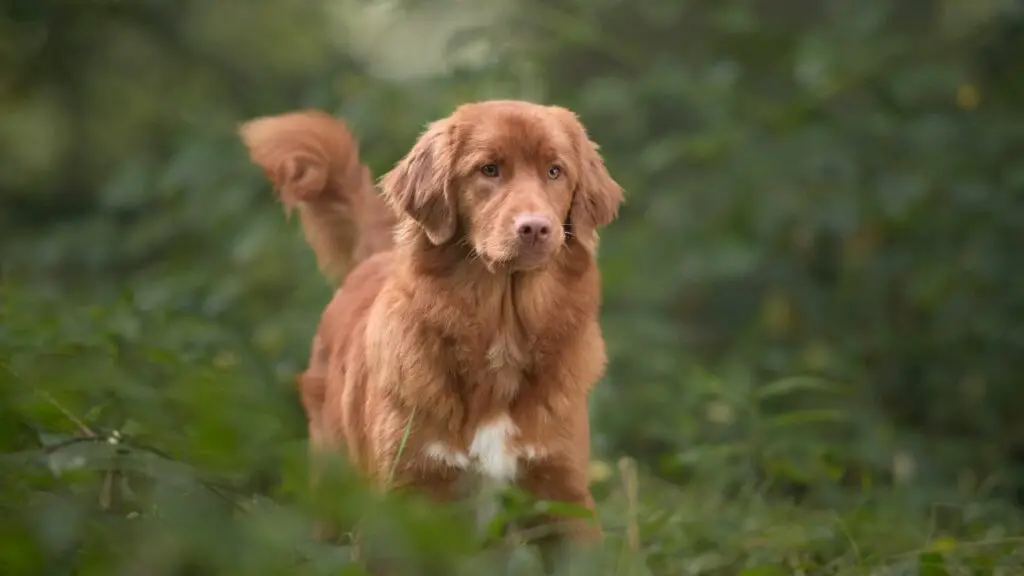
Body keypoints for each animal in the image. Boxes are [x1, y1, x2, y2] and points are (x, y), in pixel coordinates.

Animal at [239, 99, 622, 565]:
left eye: (555, 171)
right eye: (489, 170)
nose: (535, 228)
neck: (501, 332)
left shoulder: (562, 500)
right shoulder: (403, 503)